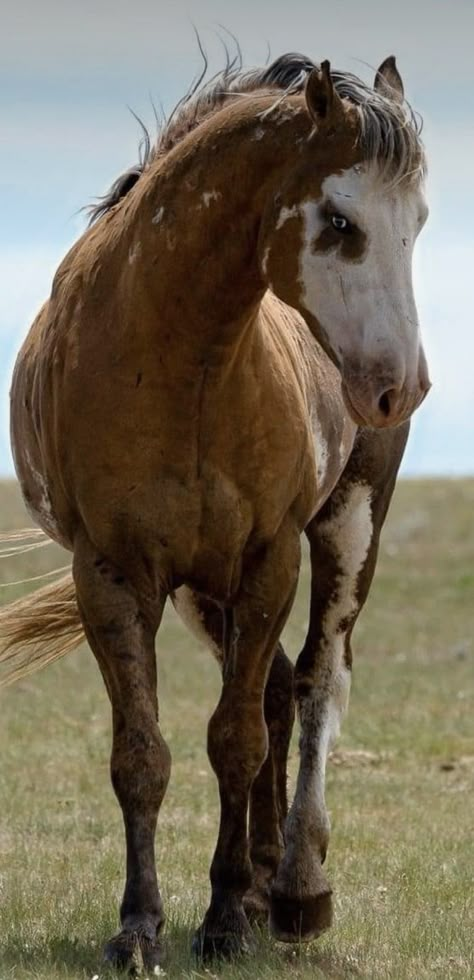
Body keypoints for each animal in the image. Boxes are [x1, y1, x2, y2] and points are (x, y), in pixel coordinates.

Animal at [0, 51, 430, 964]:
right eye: (339, 220)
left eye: (418, 220)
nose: (400, 387)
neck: (181, 361)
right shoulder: (114, 574)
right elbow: (143, 755)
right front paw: (141, 927)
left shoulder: (271, 558)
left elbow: (234, 741)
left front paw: (226, 918)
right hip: (204, 590)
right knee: (275, 689)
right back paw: (268, 881)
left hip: (348, 525)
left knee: (316, 682)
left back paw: (297, 889)